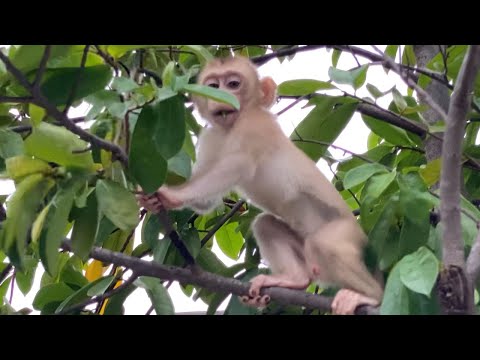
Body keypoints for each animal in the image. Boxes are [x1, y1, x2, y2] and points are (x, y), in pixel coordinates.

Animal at [137, 54, 384, 314]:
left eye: (233, 84)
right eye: (213, 85)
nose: (220, 95)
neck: (231, 128)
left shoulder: (254, 125)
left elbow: (237, 165)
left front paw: (171, 195)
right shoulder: (211, 136)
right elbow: (207, 202)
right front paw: (155, 200)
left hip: (348, 235)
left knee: (326, 244)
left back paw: (370, 296)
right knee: (266, 224)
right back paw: (294, 279)